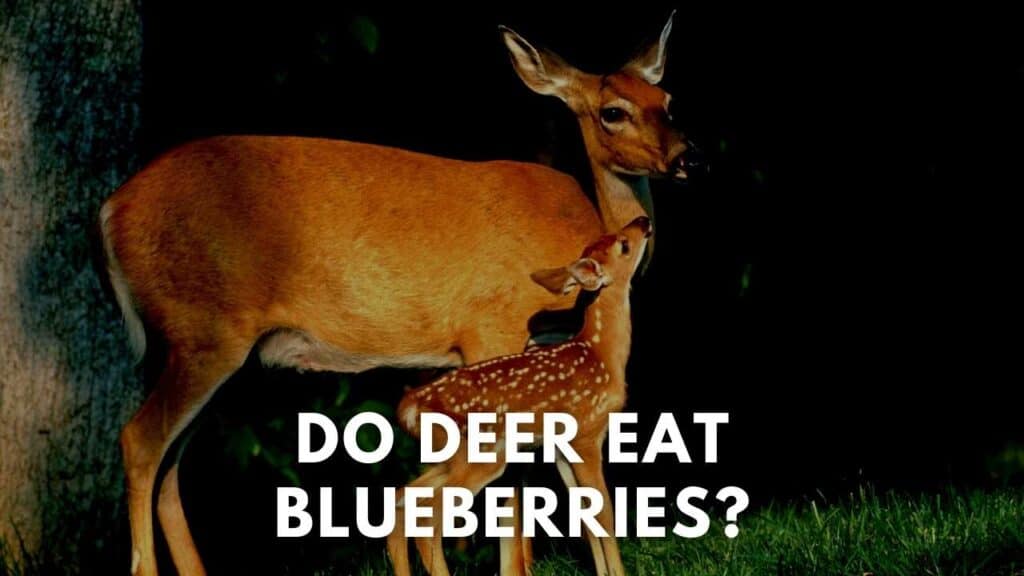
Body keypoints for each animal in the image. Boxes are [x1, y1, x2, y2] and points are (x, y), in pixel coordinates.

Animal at [387, 216, 652, 576]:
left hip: (450, 456)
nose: (644, 220)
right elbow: (604, 515)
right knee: (427, 519)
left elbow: (585, 517)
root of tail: (410, 403)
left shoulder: (561, 448)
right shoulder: (587, 433)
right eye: (624, 244)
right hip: (481, 455)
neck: (602, 353)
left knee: (402, 500)